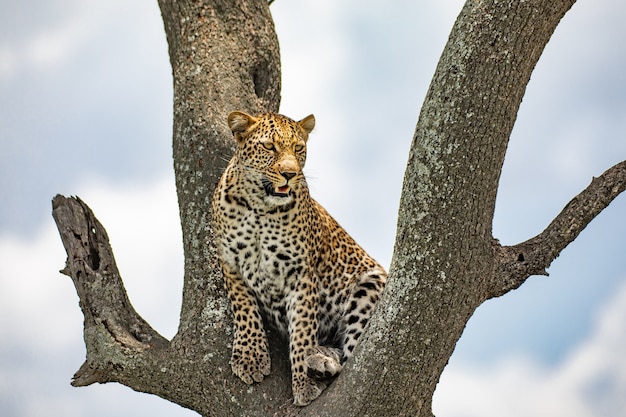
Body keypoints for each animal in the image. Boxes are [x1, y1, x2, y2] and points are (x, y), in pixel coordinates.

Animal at [211, 111, 386, 406]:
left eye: (298, 148)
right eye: (269, 147)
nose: (290, 174)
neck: (259, 208)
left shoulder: (301, 273)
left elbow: (303, 330)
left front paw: (304, 382)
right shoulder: (230, 262)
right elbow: (244, 307)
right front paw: (251, 357)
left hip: (371, 285)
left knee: (350, 357)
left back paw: (319, 362)